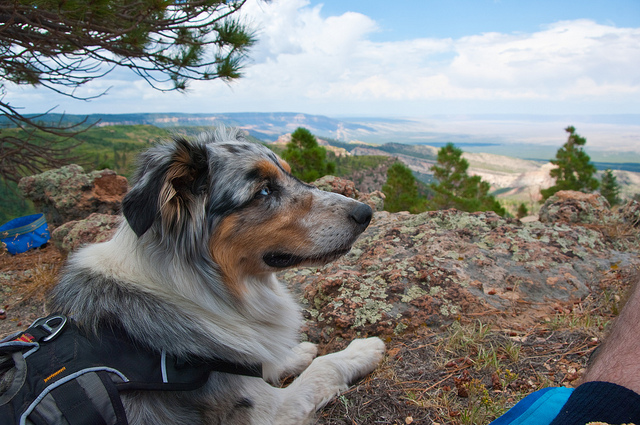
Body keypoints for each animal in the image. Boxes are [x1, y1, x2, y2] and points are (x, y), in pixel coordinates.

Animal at [46, 130, 384, 424]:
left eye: (290, 174)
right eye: (264, 191)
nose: (365, 213)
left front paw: (293, 352)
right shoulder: (267, 412)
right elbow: (322, 367)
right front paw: (360, 351)